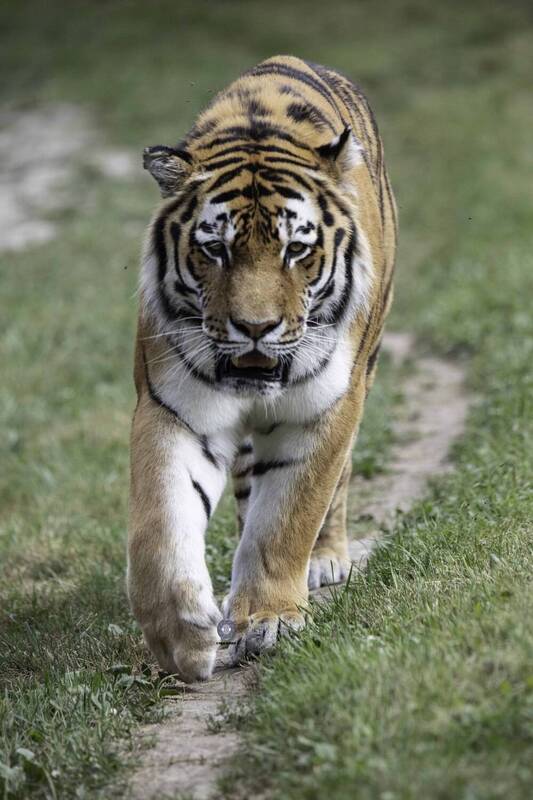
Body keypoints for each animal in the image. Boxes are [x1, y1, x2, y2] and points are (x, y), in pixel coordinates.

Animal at [128, 55, 397, 682]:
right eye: (215, 249)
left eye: (295, 250)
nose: (255, 328)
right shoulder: (173, 409)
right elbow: (161, 524)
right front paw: (181, 637)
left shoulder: (324, 409)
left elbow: (288, 518)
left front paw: (269, 618)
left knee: (335, 485)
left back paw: (325, 560)